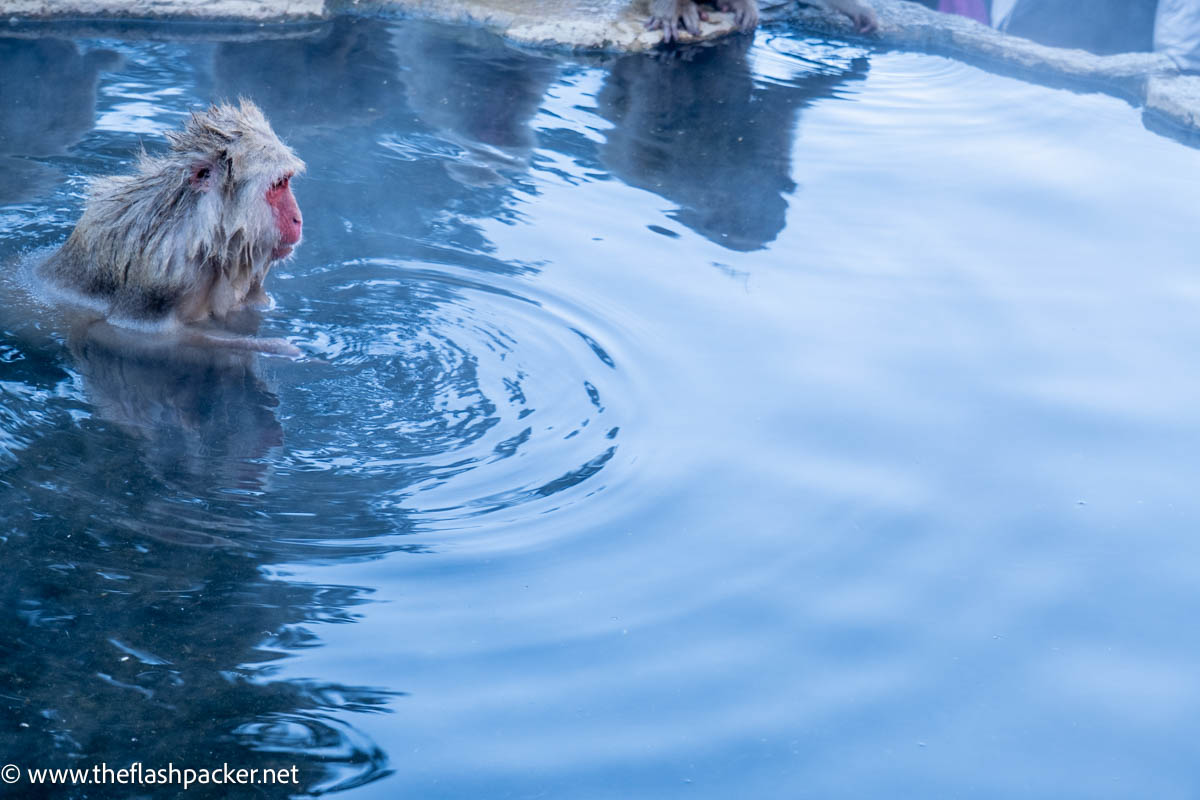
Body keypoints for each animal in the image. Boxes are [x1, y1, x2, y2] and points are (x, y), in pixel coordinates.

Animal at [40, 98, 307, 355]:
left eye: (285, 181)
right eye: (278, 185)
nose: (298, 219)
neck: (203, 236)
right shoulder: (162, 273)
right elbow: (126, 335)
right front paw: (279, 347)